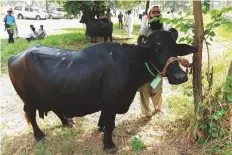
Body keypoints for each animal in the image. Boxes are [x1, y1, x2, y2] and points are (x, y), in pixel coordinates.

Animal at [8, 30, 197, 154]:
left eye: (176, 49)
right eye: (157, 49)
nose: (180, 76)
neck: (129, 63)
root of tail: (16, 57)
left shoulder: (108, 104)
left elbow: (104, 120)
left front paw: (100, 127)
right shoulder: (111, 102)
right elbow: (110, 124)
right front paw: (109, 145)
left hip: (53, 95)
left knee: (55, 108)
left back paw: (67, 122)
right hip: (29, 100)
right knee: (30, 115)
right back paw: (39, 136)